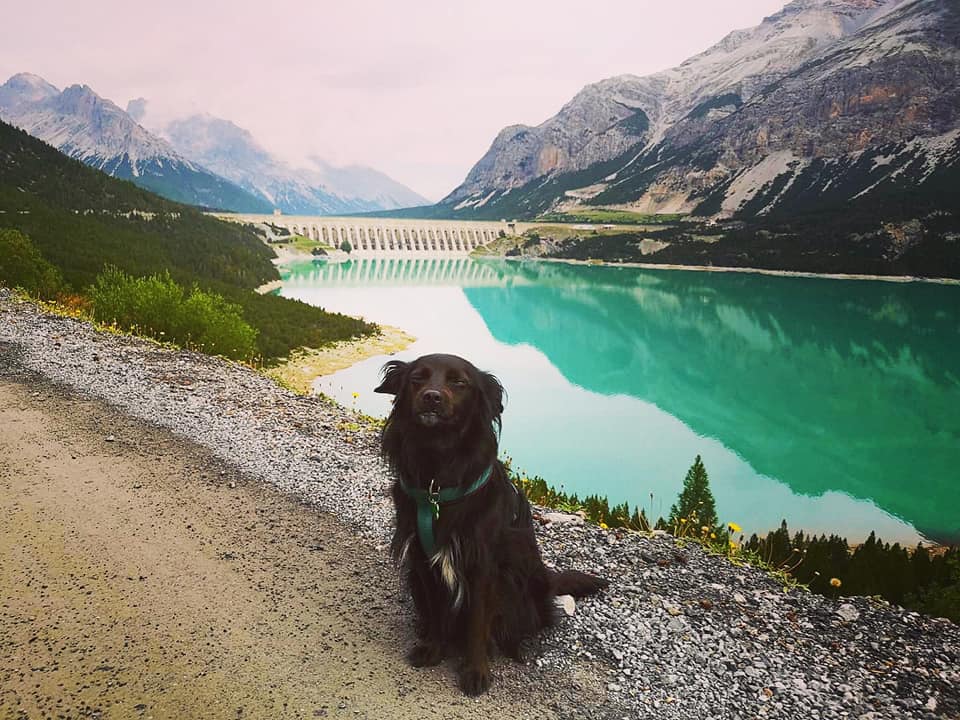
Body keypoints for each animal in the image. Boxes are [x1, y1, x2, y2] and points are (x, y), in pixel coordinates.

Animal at [376, 352, 608, 696]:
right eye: (417, 378)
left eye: (459, 382)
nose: (431, 397)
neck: (438, 480)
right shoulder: (423, 559)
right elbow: (436, 609)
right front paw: (433, 647)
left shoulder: (484, 566)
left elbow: (477, 622)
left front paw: (475, 671)